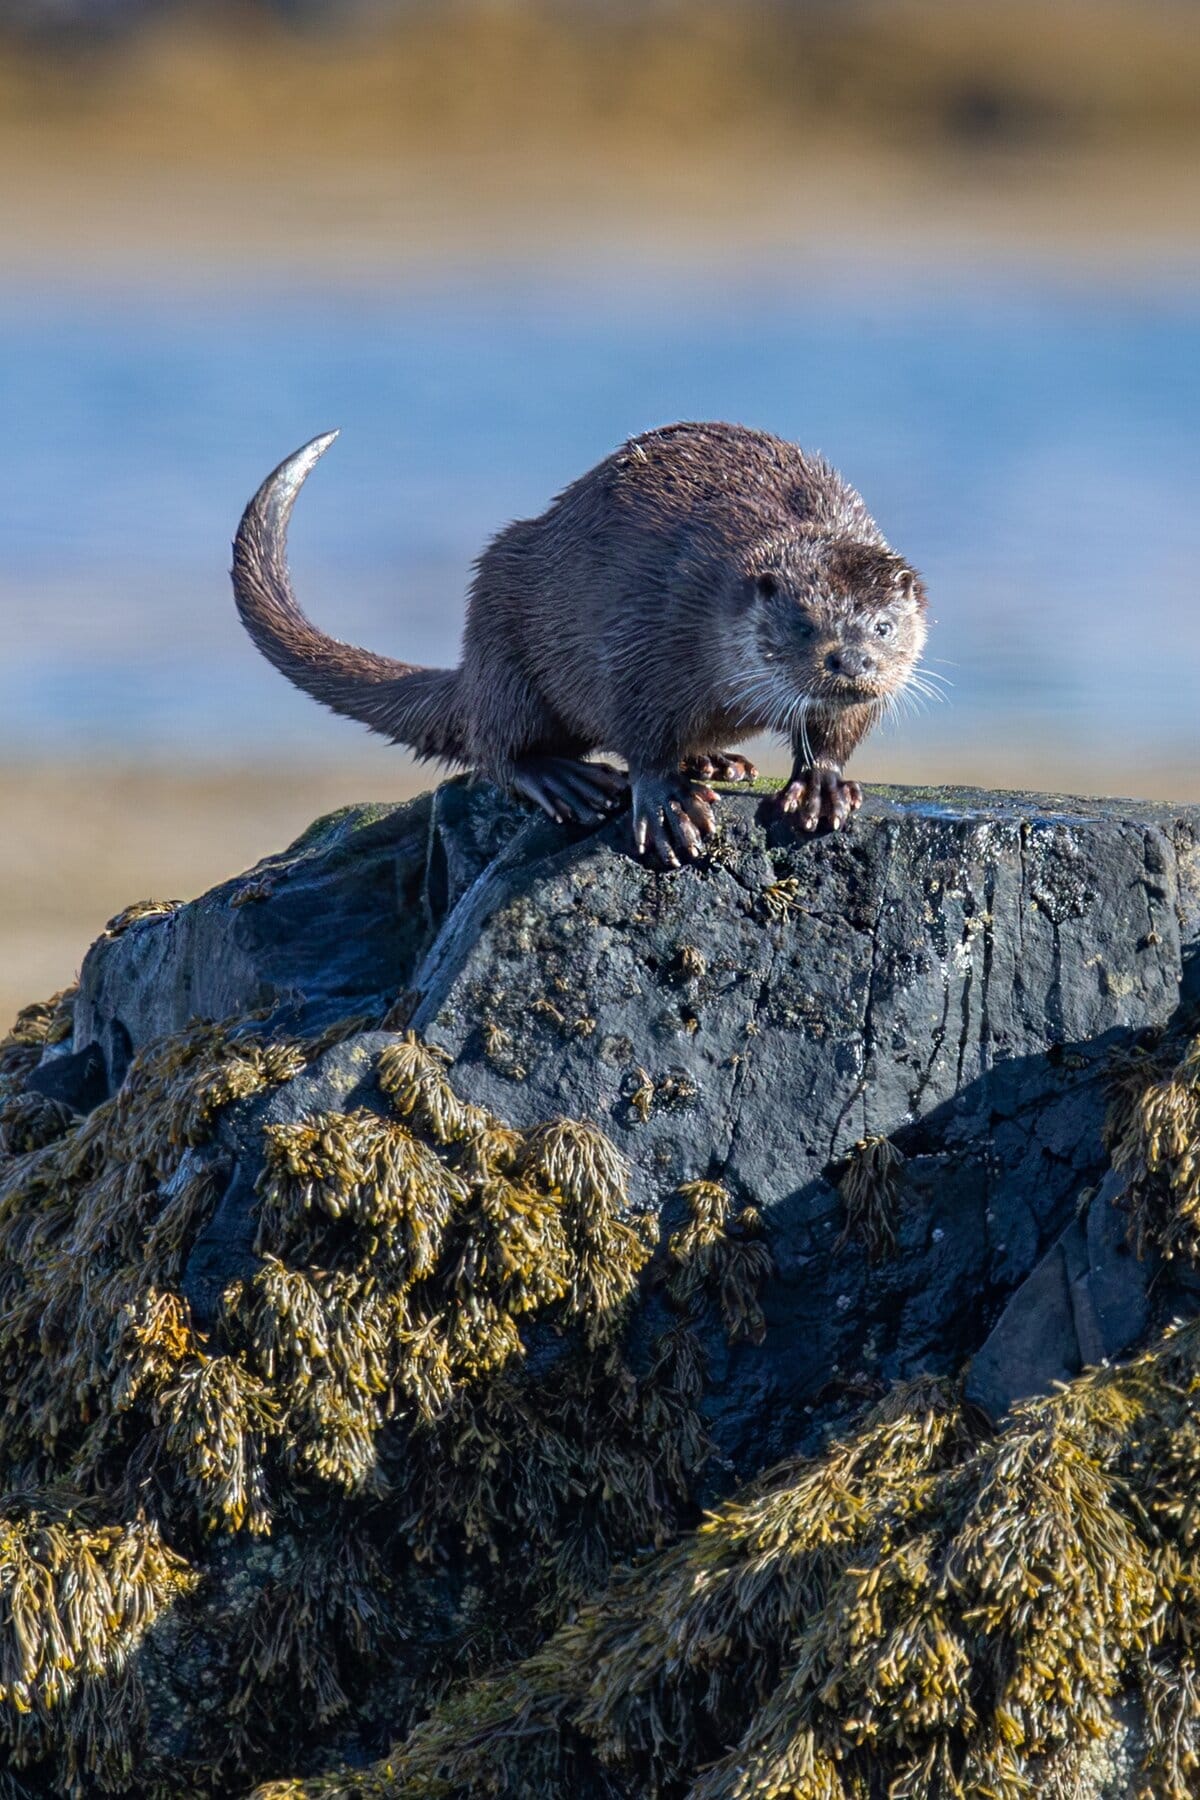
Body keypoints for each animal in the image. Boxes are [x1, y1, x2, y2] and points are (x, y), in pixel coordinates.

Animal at [231, 422, 930, 867]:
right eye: (804, 624)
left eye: (883, 627)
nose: (851, 659)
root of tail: (470, 667)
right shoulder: (649, 628)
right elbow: (640, 728)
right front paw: (668, 805)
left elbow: (837, 733)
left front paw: (820, 785)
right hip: (501, 619)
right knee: (497, 749)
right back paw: (564, 778)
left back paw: (717, 761)